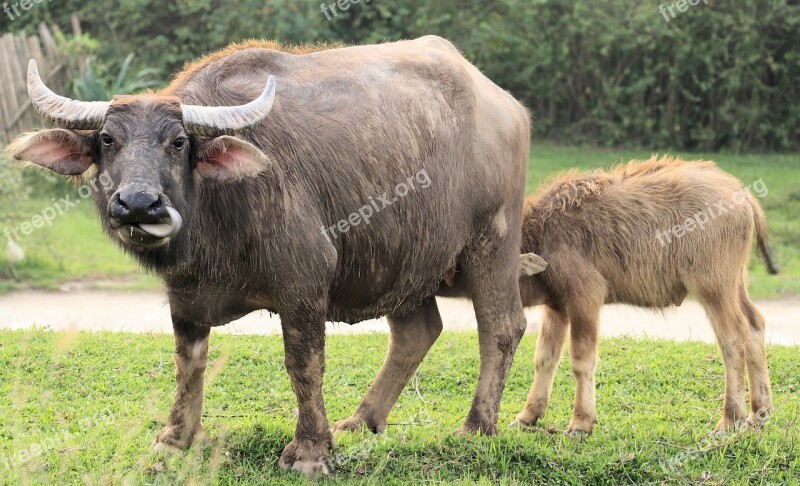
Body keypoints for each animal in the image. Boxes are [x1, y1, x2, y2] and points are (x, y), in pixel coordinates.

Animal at [10, 37, 532, 474]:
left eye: (177, 142)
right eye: (107, 140)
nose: (139, 204)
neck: (217, 215)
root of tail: (507, 106)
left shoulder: (305, 281)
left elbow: (304, 363)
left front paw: (309, 451)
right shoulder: (184, 294)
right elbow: (188, 362)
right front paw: (175, 438)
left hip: (492, 239)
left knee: (502, 325)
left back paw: (476, 425)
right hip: (401, 259)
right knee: (418, 332)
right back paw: (361, 421)